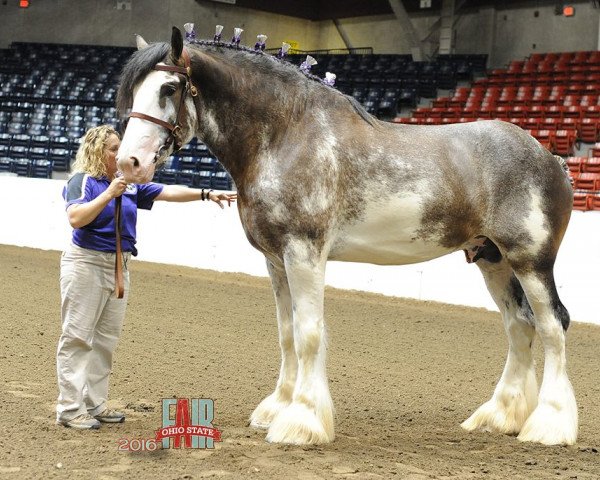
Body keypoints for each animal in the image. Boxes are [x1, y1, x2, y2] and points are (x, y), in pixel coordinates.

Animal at [113, 26, 576, 446]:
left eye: (169, 88)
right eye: (133, 92)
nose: (129, 163)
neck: (285, 134)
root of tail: (549, 156)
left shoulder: (304, 253)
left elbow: (309, 334)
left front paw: (301, 422)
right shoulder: (275, 259)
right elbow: (287, 333)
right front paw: (277, 408)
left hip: (531, 261)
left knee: (553, 327)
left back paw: (549, 427)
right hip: (492, 259)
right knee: (519, 326)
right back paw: (499, 417)